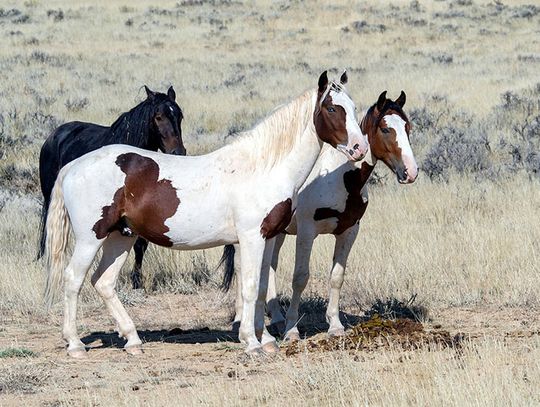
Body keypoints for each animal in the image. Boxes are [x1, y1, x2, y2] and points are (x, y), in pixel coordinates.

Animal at [38, 86, 186, 290]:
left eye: (180, 116)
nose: (178, 152)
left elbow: (141, 245)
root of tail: (54, 135)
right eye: (158, 117)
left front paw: (137, 281)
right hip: (49, 199)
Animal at [227, 91, 418, 342]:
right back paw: (241, 320)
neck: (341, 177)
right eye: (386, 129)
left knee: (270, 267)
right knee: (242, 268)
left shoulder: (349, 231)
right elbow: (300, 278)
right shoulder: (307, 232)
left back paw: (276, 318)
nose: (411, 172)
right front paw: (292, 329)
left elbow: (337, 277)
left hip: (277, 233)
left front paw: (335, 325)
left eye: (407, 127)